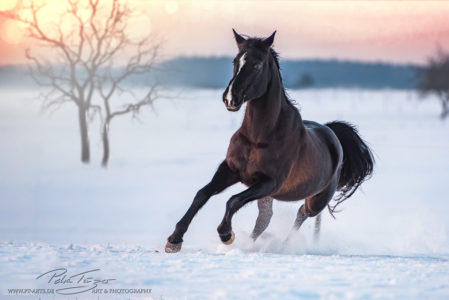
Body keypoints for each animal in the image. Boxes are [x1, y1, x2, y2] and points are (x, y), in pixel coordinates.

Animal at [164, 29, 372, 253]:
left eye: (258, 64)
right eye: (235, 61)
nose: (230, 99)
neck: (259, 137)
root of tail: (332, 134)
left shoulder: (270, 182)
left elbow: (233, 200)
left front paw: (226, 234)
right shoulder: (230, 170)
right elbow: (202, 194)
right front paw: (174, 240)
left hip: (317, 199)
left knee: (302, 213)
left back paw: (284, 245)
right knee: (265, 219)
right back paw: (253, 244)